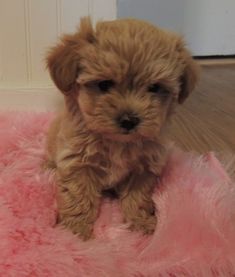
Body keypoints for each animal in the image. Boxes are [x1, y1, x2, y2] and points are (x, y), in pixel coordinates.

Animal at [45, 16, 198, 239]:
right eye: (104, 84)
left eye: (155, 88)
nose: (129, 120)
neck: (118, 142)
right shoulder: (78, 163)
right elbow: (78, 196)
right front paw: (75, 231)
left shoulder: (145, 167)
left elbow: (137, 197)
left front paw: (141, 224)